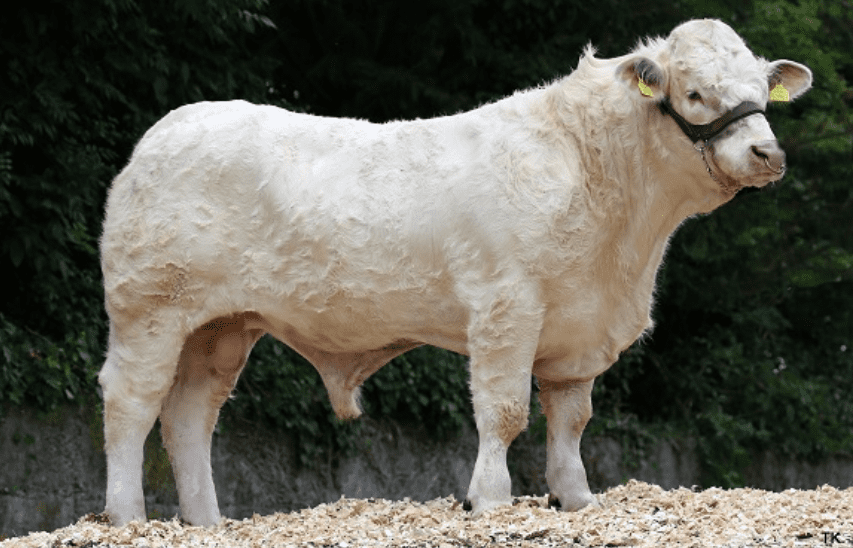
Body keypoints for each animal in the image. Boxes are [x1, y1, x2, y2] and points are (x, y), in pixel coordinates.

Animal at [98, 19, 812, 526]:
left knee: (189, 416)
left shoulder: (580, 331)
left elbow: (571, 421)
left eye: (761, 91)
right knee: (131, 403)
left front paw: (576, 498)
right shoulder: (506, 308)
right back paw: (127, 517)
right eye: (694, 93)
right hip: (149, 311)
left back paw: (207, 522)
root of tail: (168, 128)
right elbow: (504, 411)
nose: (767, 153)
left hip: (222, 326)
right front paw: (489, 499)